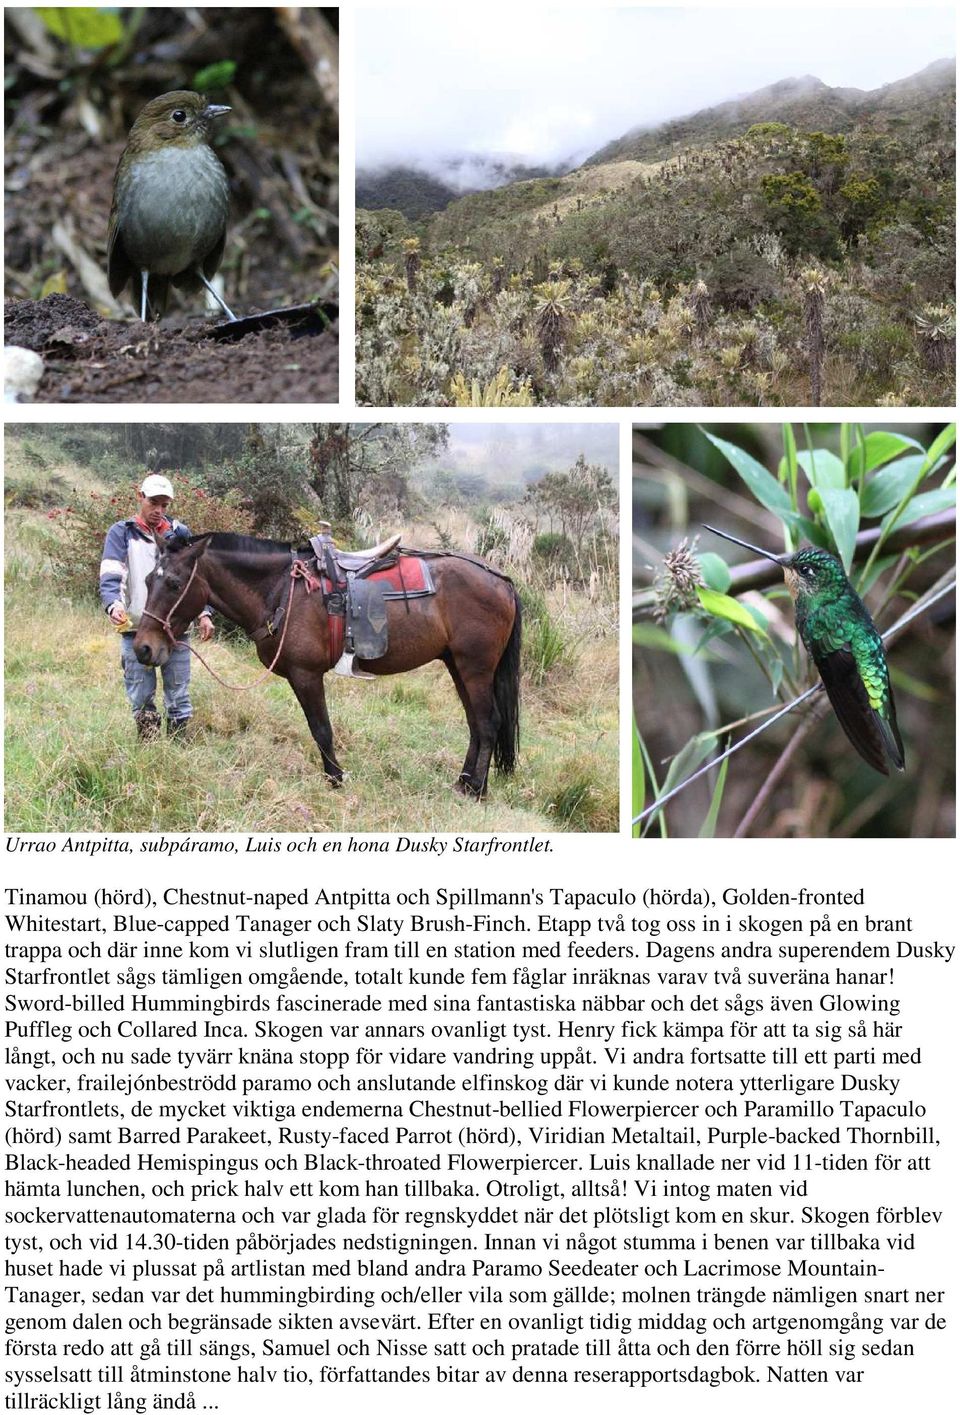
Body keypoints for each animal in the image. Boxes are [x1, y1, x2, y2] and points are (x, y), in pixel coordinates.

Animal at [132, 532, 523, 798]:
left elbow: (321, 729)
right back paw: (464, 782)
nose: (143, 648)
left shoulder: (306, 675)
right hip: (458, 665)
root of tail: (501, 579)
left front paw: (335, 779)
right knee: (475, 724)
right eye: (148, 579)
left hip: (475, 667)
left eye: (174, 583)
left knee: (487, 723)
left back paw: (476, 789)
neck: (283, 591)